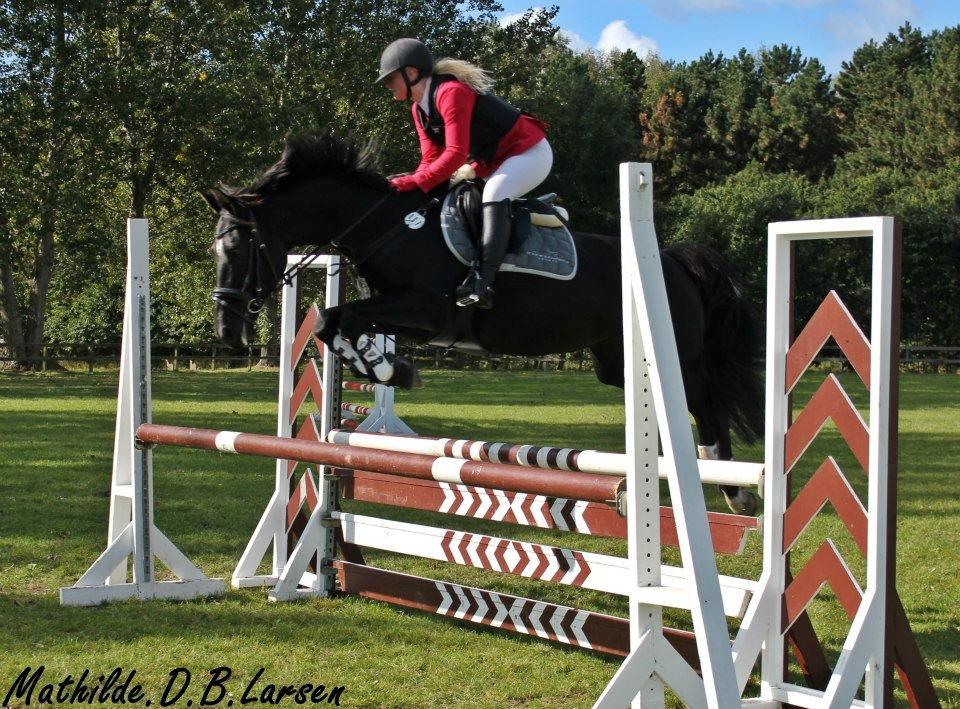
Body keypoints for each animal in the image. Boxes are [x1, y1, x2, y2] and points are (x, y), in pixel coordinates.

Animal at [202, 133, 764, 512]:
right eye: (216, 250)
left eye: (241, 248)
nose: (227, 332)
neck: (389, 226)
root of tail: (672, 260)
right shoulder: (397, 311)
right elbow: (334, 324)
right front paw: (389, 368)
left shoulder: (427, 310)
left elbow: (338, 319)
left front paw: (390, 370)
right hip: (618, 363)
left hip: (673, 356)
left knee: (707, 402)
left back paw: (734, 488)